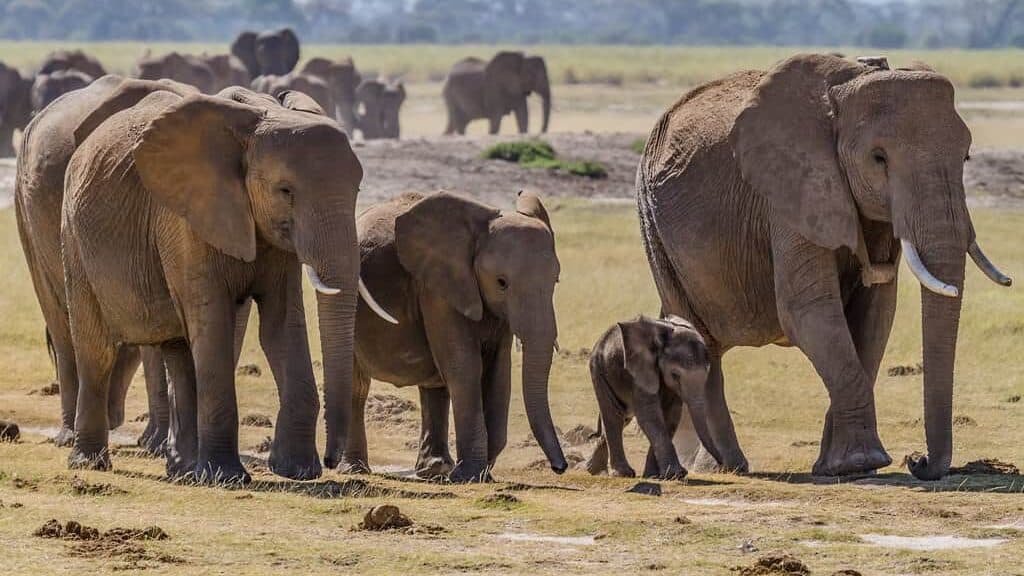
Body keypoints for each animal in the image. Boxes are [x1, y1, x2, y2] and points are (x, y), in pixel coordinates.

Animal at [59, 84, 393, 482]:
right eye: (285, 191)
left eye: (357, 191)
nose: (332, 460)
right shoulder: (185, 219)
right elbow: (213, 321)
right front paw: (226, 476)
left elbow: (282, 325)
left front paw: (297, 470)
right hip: (74, 239)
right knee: (97, 347)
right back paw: (90, 462)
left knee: (179, 348)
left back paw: (183, 470)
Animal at [347, 190, 567, 482]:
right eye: (501, 283)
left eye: (556, 280)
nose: (560, 468)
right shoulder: (438, 288)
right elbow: (464, 366)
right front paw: (470, 475)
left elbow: (499, 372)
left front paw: (481, 474)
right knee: (357, 384)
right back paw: (355, 468)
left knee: (435, 383)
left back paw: (434, 470)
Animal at [585, 316, 720, 480]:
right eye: (675, 375)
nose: (721, 463)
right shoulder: (639, 372)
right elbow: (649, 416)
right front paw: (677, 474)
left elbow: (671, 417)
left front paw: (654, 476)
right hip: (599, 370)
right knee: (614, 416)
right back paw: (623, 473)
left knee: (623, 418)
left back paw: (593, 470)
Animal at [635, 53, 1012, 480]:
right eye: (878, 158)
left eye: (966, 156)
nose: (918, 460)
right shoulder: (790, 189)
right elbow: (809, 310)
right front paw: (862, 463)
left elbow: (875, 314)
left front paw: (840, 467)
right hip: (652, 222)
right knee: (700, 339)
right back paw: (730, 467)